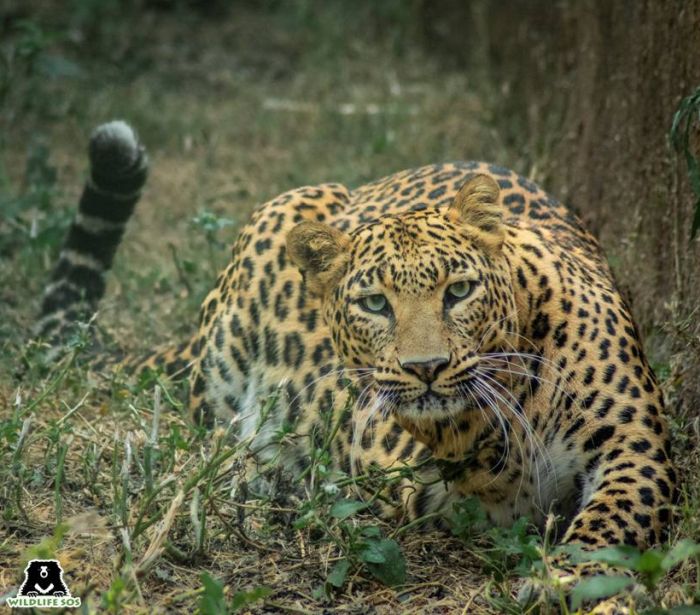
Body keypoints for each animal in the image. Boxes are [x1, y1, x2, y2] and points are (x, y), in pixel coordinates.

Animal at [34, 121, 680, 612]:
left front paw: (569, 580)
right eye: (375, 303)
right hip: (233, 344)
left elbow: (614, 521)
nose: (426, 367)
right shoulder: (385, 445)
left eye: (458, 291)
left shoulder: (637, 445)